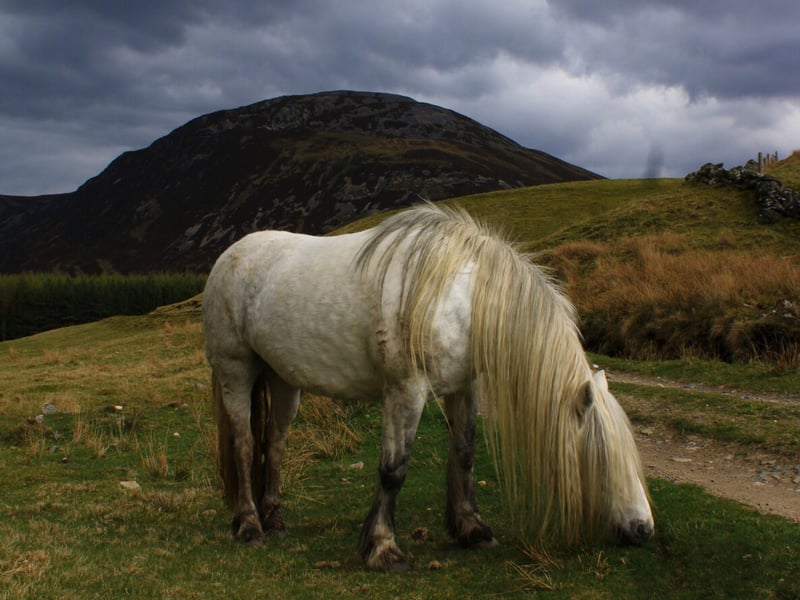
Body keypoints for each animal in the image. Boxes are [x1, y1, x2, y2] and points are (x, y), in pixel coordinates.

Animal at [202, 203, 654, 571]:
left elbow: (465, 454)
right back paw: (249, 526)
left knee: (274, 444)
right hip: (236, 371)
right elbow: (394, 469)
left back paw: (275, 521)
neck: (460, 298)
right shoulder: (407, 391)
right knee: (245, 445)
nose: (644, 529)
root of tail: (229, 256)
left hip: (282, 380)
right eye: (603, 457)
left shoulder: (464, 388)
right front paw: (383, 549)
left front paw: (472, 530)